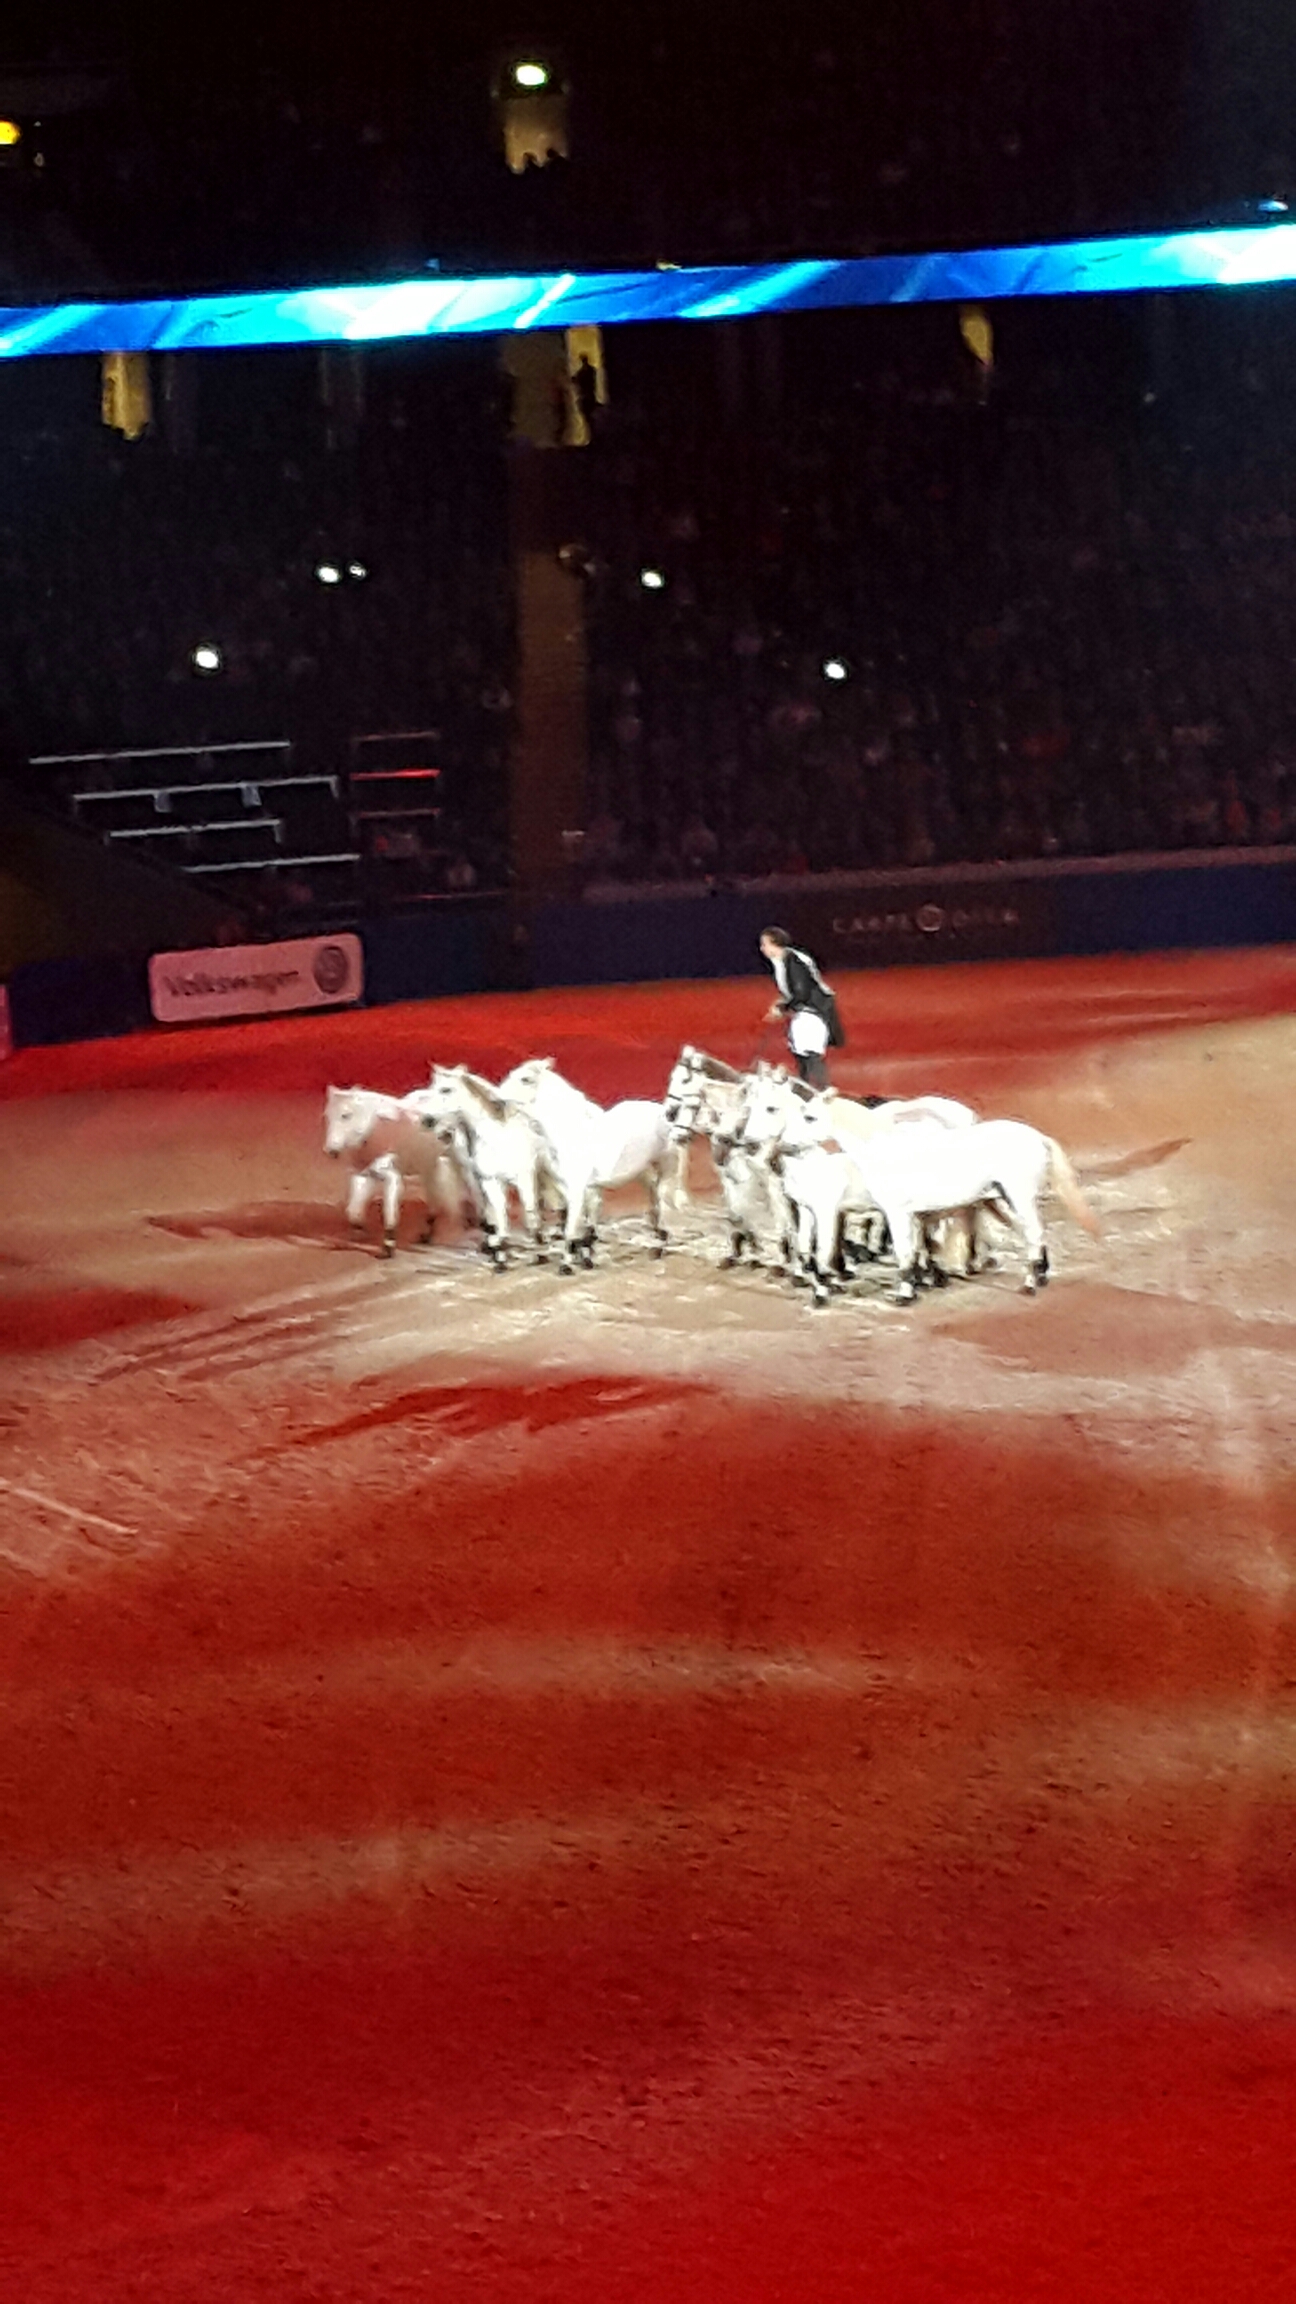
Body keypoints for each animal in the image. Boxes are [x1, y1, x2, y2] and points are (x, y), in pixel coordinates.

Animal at [322, 1084, 477, 1256]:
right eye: (328, 1116)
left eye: (346, 1115)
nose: (331, 1150)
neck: (379, 1130)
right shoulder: (363, 1175)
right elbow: (354, 1211)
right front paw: (358, 1232)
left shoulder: (392, 1177)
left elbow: (389, 1208)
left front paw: (388, 1246)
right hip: (432, 1167)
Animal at [420, 1064, 561, 1268]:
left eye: (446, 1089)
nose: (427, 1120)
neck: (496, 1138)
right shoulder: (490, 1181)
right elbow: (500, 1216)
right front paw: (500, 1256)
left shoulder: (524, 1179)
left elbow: (530, 1216)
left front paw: (538, 1254)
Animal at [497, 1058, 678, 1273]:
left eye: (525, 1079)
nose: (496, 1097)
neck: (573, 1131)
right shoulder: (575, 1188)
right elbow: (582, 1225)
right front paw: (585, 1259)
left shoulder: (576, 1188)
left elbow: (571, 1227)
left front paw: (566, 1266)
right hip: (644, 1173)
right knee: (655, 1204)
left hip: (667, 1168)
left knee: (664, 1203)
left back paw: (660, 1246)